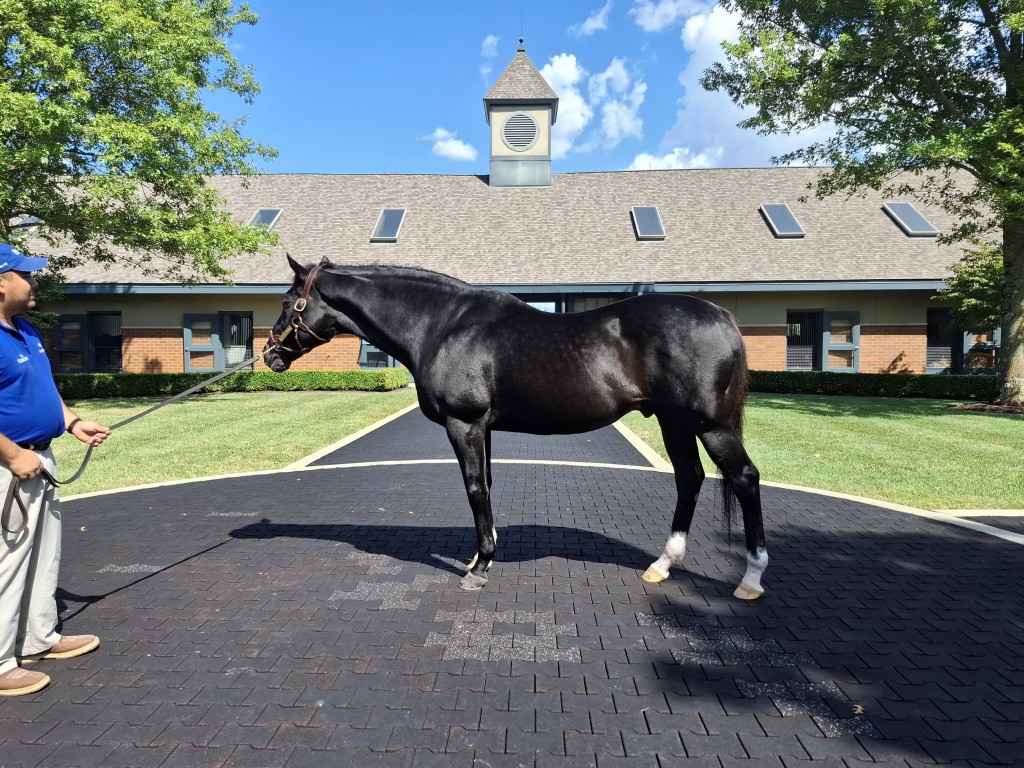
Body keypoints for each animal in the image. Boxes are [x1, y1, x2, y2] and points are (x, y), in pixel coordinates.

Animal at [264, 259, 770, 602]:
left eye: (289, 302)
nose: (270, 356)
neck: (441, 324)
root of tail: (722, 316)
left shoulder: (464, 424)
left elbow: (474, 488)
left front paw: (479, 567)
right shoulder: (482, 428)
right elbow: (487, 485)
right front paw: (480, 556)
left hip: (710, 425)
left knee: (744, 478)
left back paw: (750, 578)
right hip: (674, 421)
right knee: (690, 478)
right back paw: (662, 565)